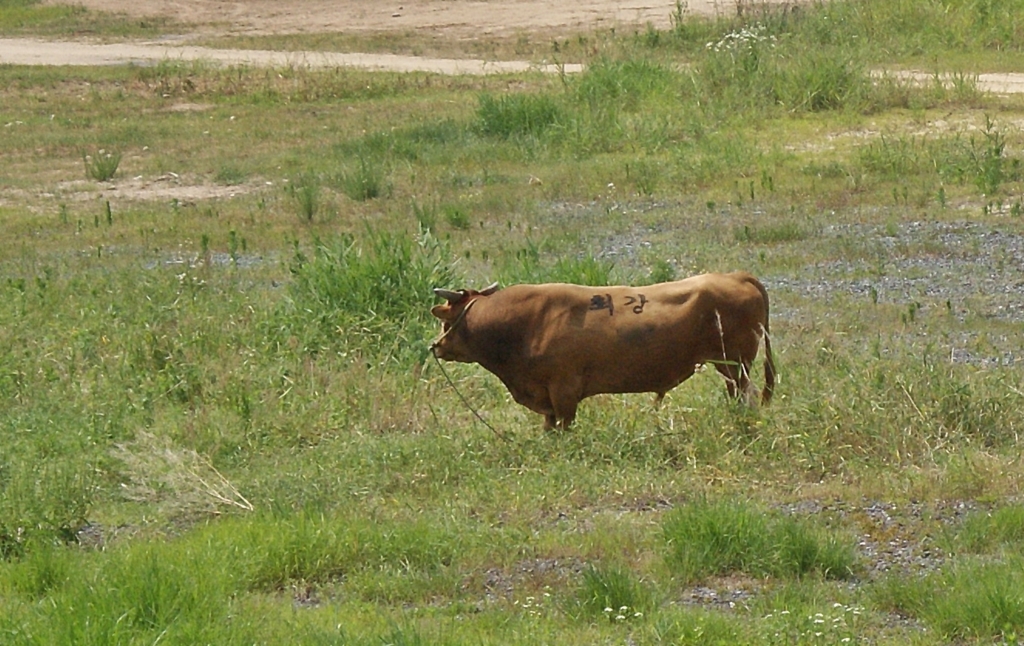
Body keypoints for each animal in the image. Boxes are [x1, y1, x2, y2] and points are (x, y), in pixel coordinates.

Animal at [430, 272, 774, 429]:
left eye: (445, 320)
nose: (436, 347)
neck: (525, 323)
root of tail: (733, 275)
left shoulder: (563, 390)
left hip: (735, 363)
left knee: (748, 395)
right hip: (729, 366)